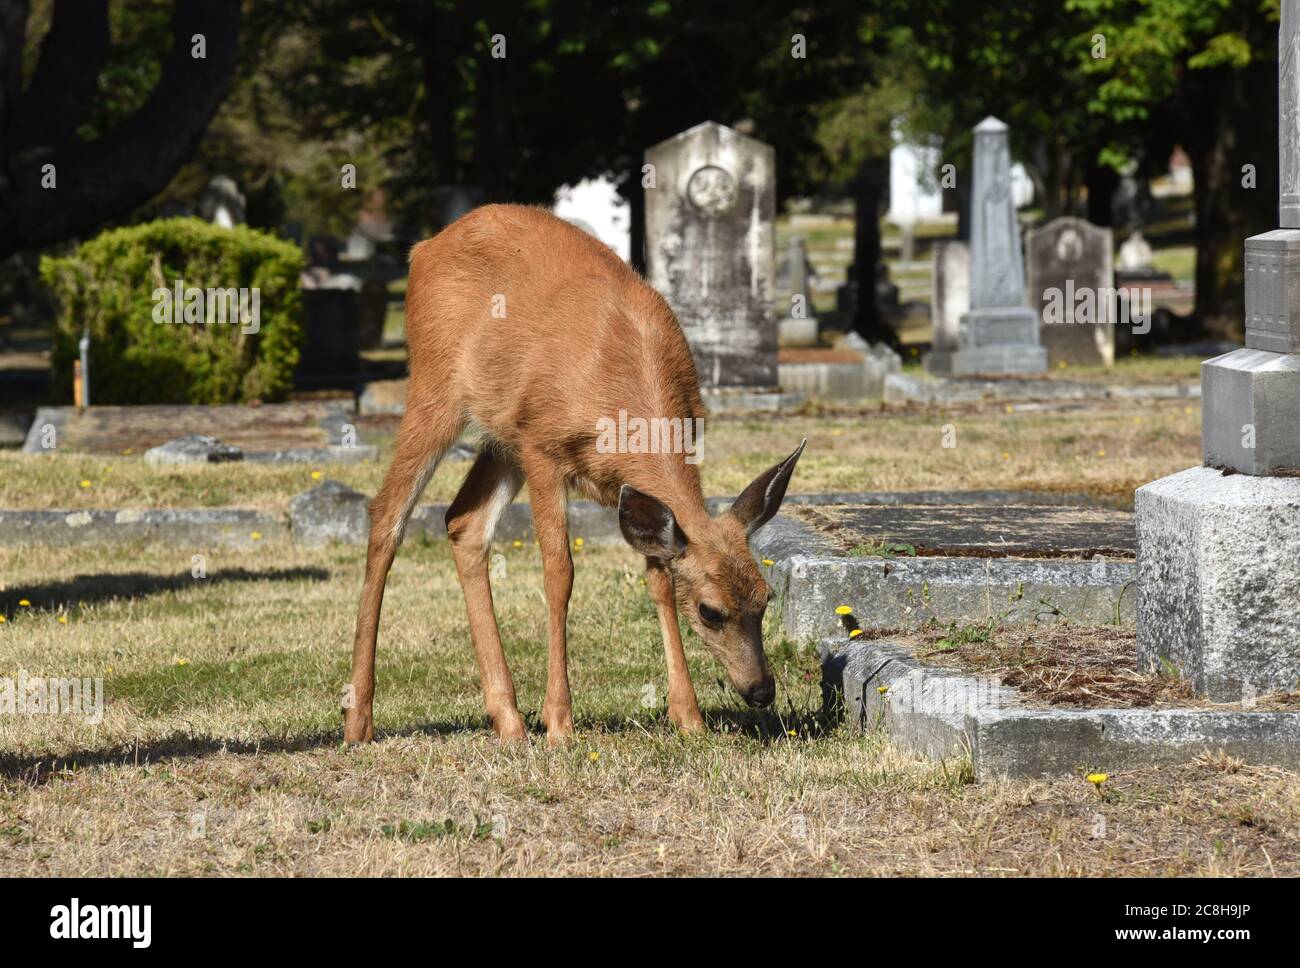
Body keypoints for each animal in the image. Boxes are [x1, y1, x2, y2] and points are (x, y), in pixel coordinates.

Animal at [345, 201, 800, 748]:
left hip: (505, 434)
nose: (761, 691)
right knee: (387, 515)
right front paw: (560, 721)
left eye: (765, 597)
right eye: (711, 611)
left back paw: (508, 719)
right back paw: (358, 719)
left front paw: (688, 716)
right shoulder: (544, 449)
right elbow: (559, 573)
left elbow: (659, 579)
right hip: (439, 392)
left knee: (463, 522)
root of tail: (423, 249)